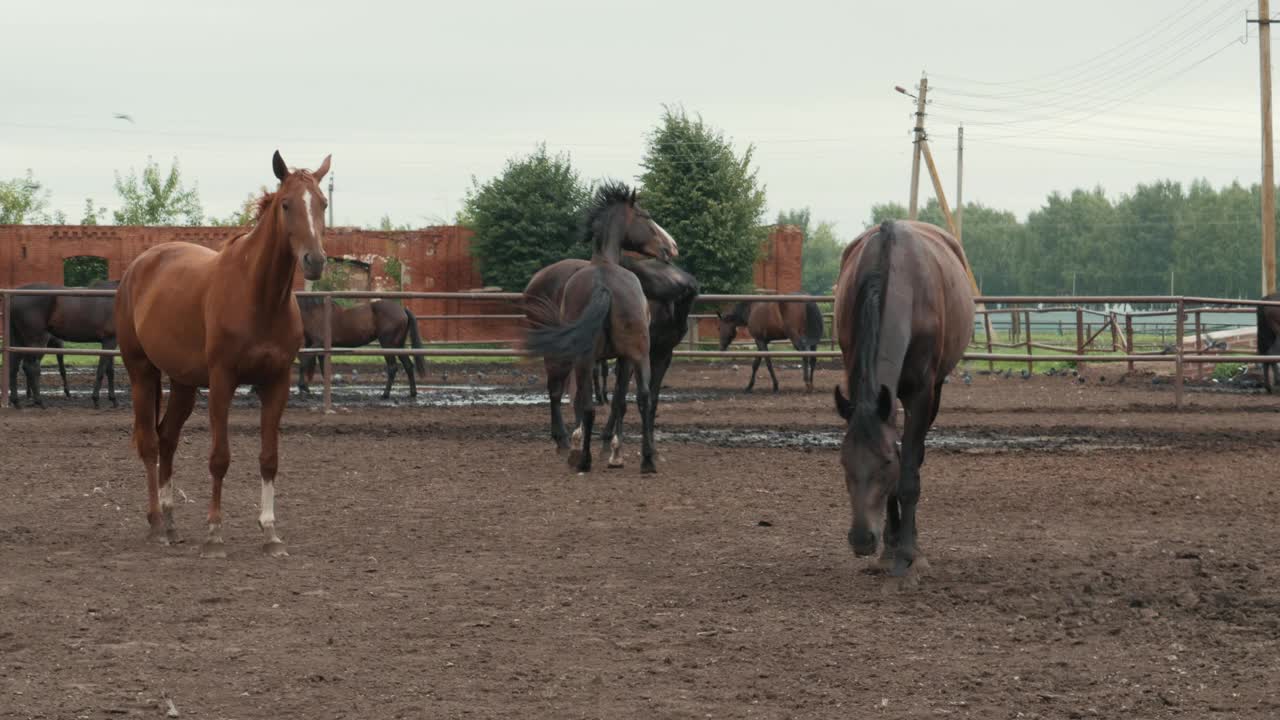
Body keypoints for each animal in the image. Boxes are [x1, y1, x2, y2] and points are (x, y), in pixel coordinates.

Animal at [6, 279, 119, 407]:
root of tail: (14, 296)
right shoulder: (110, 341)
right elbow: (101, 370)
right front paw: (96, 399)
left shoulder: (109, 342)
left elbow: (110, 371)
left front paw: (113, 399)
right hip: (36, 341)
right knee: (30, 367)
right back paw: (39, 402)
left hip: (19, 340)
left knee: (14, 366)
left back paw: (16, 402)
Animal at [116, 149, 330, 556]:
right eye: (286, 204)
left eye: (322, 203)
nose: (315, 261)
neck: (259, 296)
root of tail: (138, 265)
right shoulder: (222, 381)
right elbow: (219, 458)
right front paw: (214, 533)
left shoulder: (277, 383)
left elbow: (269, 459)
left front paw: (270, 533)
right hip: (142, 372)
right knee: (149, 444)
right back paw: (156, 525)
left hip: (183, 383)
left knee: (167, 438)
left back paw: (171, 522)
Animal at [296, 295, 427, 397]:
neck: (315, 313)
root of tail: (402, 310)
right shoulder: (321, 348)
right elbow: (323, 369)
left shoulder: (317, 344)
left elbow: (304, 362)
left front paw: (303, 387)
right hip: (398, 345)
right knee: (408, 365)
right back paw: (412, 393)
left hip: (388, 345)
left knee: (392, 368)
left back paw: (385, 394)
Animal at [524, 179, 680, 471]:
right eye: (646, 216)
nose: (671, 246)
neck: (604, 262)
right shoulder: (625, 357)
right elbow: (620, 400)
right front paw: (614, 450)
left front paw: (605, 448)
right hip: (635, 353)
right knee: (638, 398)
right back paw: (644, 460)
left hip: (583, 357)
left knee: (574, 398)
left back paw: (578, 454)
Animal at [834, 219, 972, 576]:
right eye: (843, 461)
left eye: (884, 463)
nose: (862, 539)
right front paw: (890, 547)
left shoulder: (920, 393)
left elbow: (907, 471)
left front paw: (909, 553)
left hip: (935, 391)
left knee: (917, 456)